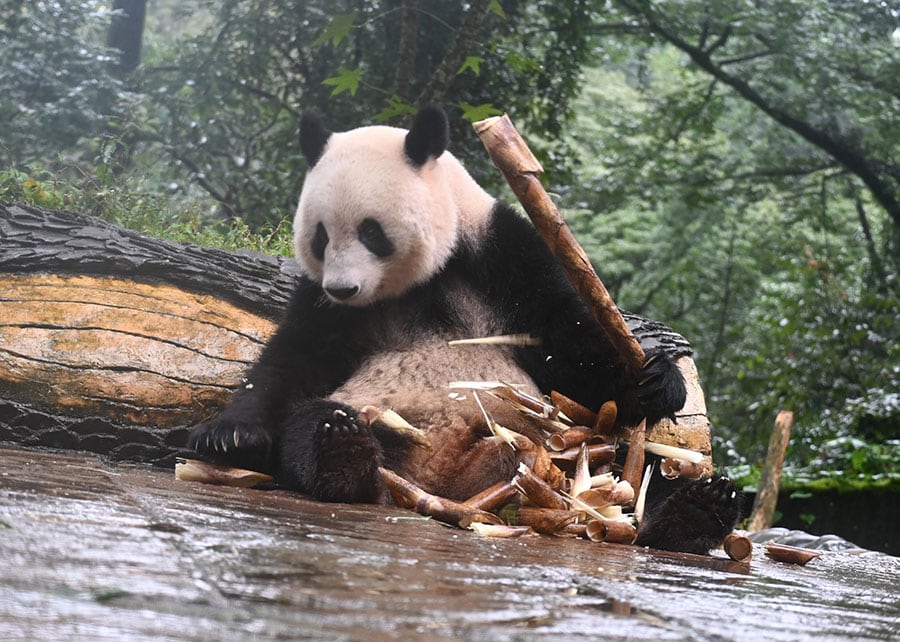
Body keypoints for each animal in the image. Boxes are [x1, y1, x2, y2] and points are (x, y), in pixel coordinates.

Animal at [188, 104, 740, 552]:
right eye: (321, 237)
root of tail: (446, 487)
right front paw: (228, 435)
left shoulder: (503, 253)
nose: (343, 288)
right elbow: (294, 360)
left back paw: (694, 512)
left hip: (558, 444)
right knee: (314, 421)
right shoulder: (320, 300)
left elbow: (571, 354)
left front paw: (656, 379)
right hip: (387, 425)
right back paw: (343, 454)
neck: (424, 278)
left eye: (371, 232)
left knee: (641, 467)